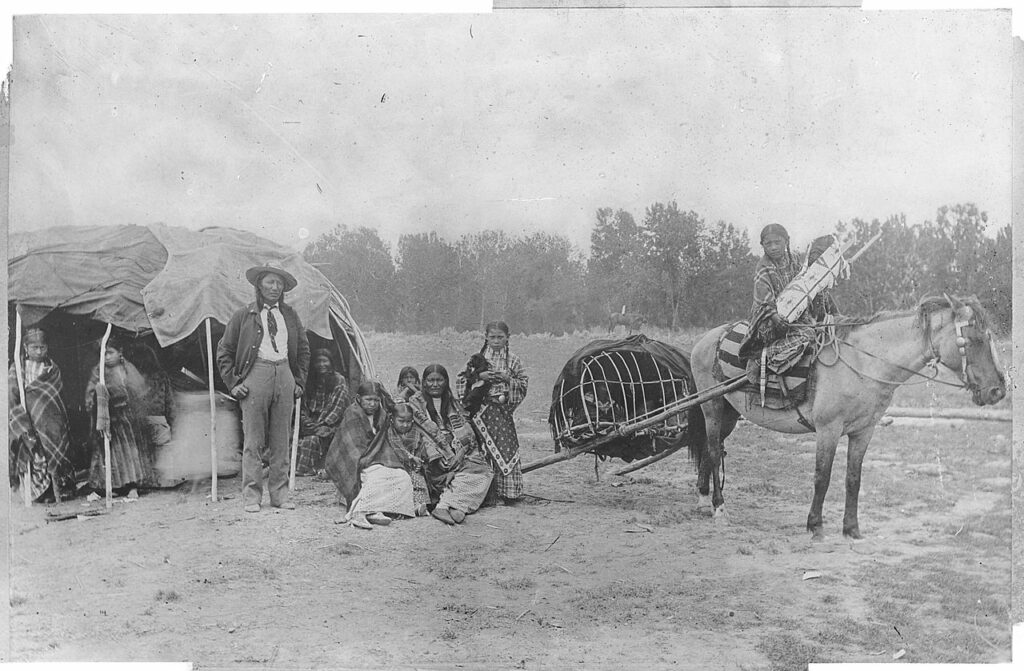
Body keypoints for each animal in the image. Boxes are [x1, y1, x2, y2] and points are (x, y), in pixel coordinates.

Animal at [688, 295, 1007, 540]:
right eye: (975, 339)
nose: (998, 390)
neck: (864, 363)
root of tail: (704, 340)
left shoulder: (864, 431)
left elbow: (854, 478)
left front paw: (851, 528)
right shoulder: (828, 430)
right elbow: (822, 476)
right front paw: (815, 526)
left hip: (729, 414)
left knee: (711, 449)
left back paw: (703, 500)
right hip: (712, 407)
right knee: (714, 451)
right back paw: (719, 508)